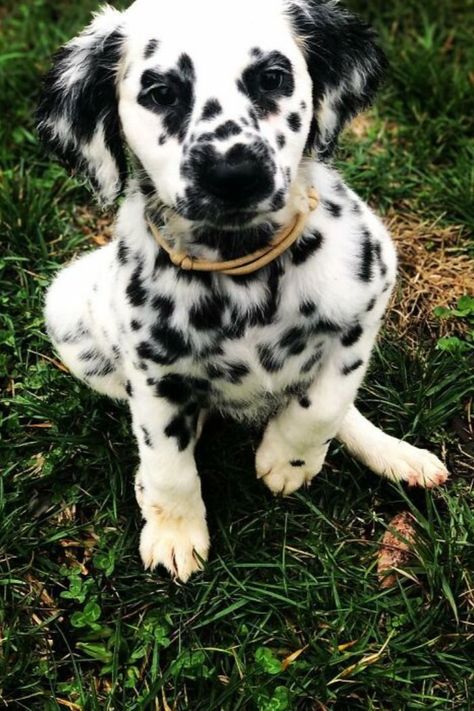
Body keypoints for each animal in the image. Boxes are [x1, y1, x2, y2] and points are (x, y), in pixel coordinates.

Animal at [36, 0, 448, 580]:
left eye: (272, 78)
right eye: (161, 92)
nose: (233, 174)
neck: (243, 270)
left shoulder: (367, 303)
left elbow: (324, 404)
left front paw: (288, 461)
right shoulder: (153, 373)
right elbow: (166, 461)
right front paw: (174, 531)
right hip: (68, 308)